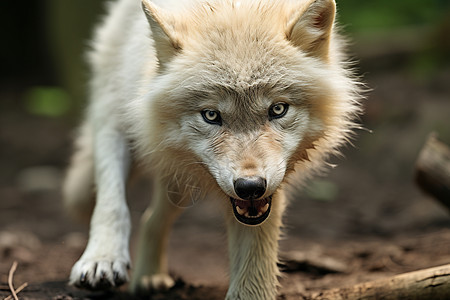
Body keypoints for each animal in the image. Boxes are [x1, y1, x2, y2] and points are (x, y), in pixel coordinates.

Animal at [62, 0, 362, 298]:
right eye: (210, 115)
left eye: (278, 109)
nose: (250, 187)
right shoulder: (113, 121)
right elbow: (112, 203)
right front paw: (101, 260)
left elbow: (254, 264)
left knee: (151, 218)